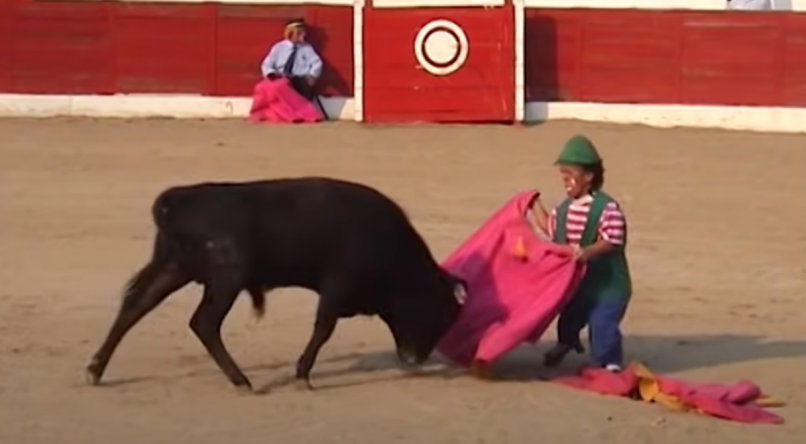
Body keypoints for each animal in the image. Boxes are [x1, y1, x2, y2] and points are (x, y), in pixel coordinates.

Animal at [84, 178, 464, 392]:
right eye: (440, 312)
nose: (416, 360)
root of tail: (174, 202)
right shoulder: (337, 286)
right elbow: (323, 329)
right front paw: (303, 376)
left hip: (174, 269)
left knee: (135, 307)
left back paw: (95, 370)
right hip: (226, 279)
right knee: (204, 323)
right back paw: (242, 382)